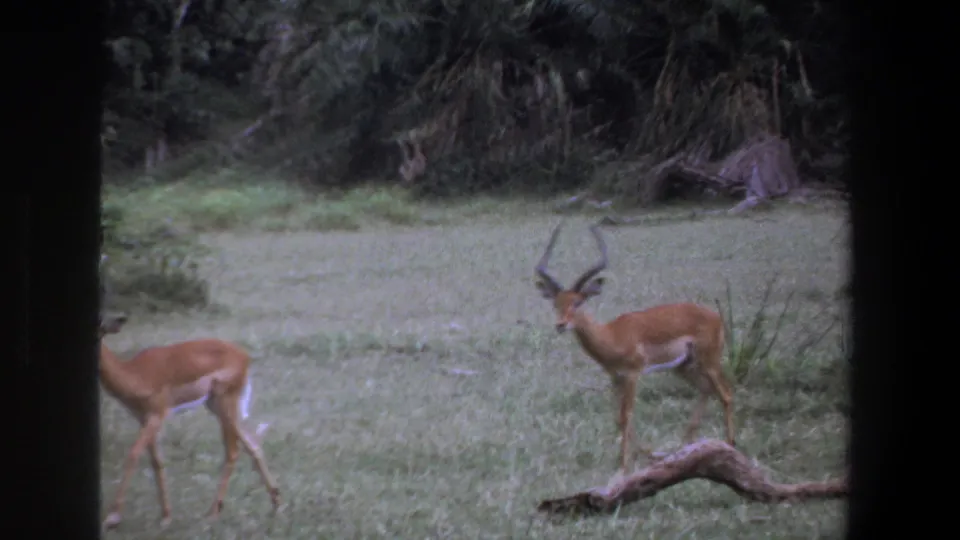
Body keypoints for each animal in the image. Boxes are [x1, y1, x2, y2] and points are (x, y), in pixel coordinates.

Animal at [98, 313, 281, 530]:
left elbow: (133, 454)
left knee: (233, 451)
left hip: (224, 403)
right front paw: (166, 516)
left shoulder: (157, 415)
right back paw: (276, 504)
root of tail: (245, 357)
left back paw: (213, 513)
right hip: (216, 405)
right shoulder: (143, 418)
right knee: (252, 445)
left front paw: (112, 517)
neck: (135, 374)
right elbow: (156, 461)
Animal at [534, 222, 736, 471]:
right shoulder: (615, 378)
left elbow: (626, 415)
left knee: (726, 394)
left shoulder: (632, 374)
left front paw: (624, 464)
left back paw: (730, 445)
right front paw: (642, 455)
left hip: (709, 361)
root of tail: (715, 316)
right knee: (706, 389)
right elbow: (618, 419)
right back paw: (686, 445)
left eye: (578, 302)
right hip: (683, 366)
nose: (561, 324)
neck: (612, 335)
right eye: (556, 303)